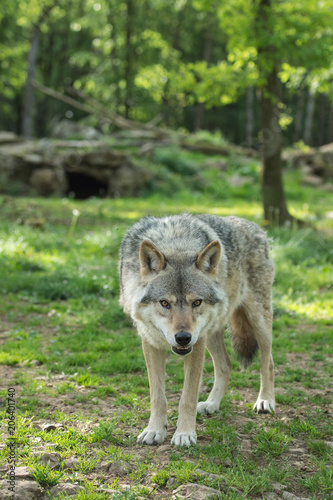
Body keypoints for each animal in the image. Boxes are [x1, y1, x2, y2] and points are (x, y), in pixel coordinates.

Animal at [118, 213, 274, 448]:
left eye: (196, 302)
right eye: (165, 303)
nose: (183, 337)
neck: (176, 244)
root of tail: (253, 225)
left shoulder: (196, 345)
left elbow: (187, 397)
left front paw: (184, 434)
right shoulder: (150, 342)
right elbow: (158, 396)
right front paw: (154, 430)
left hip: (258, 322)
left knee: (268, 363)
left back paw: (265, 400)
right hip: (211, 334)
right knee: (226, 365)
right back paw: (211, 404)